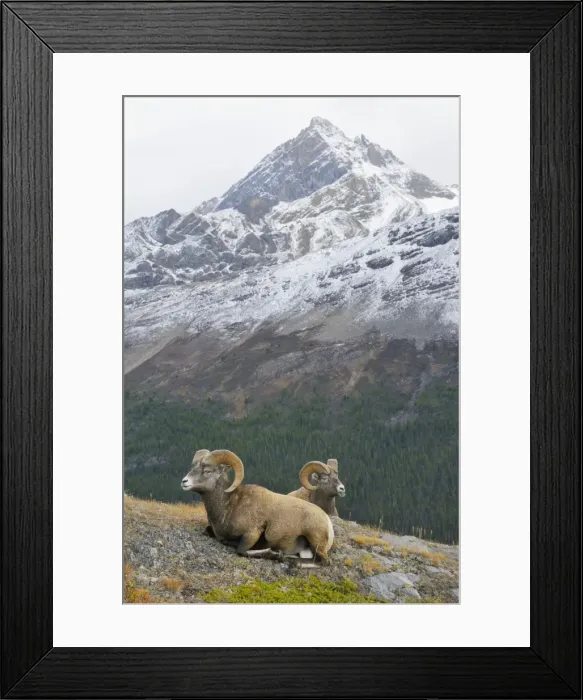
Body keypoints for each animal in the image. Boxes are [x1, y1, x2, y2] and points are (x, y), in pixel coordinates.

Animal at [181, 449, 334, 563]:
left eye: (207, 471)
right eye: (193, 468)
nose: (184, 481)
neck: (229, 507)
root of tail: (327, 522)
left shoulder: (252, 533)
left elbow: (241, 551)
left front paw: (274, 554)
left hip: (315, 540)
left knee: (323, 561)